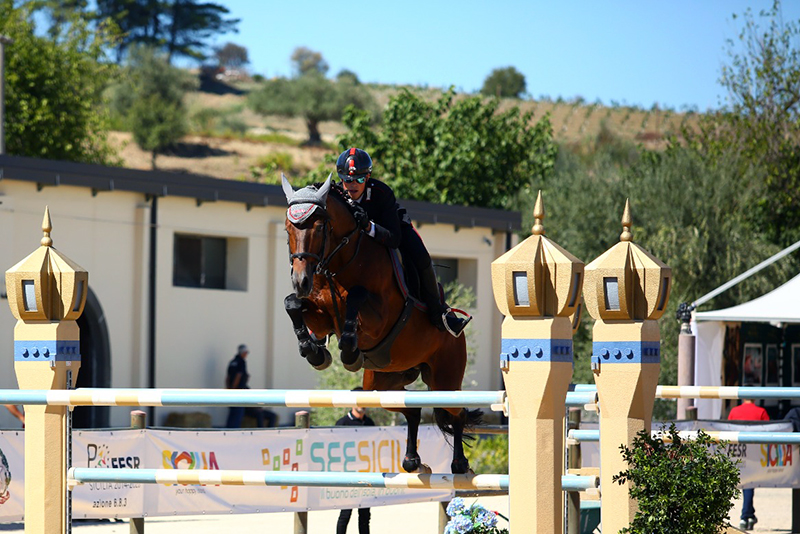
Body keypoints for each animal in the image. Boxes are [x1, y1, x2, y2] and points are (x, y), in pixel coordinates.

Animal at [282, 174, 482, 476]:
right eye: (287, 229)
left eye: (318, 227)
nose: (301, 280)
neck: (344, 260)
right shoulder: (322, 316)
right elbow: (292, 304)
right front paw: (314, 351)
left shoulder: (379, 317)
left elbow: (356, 297)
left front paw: (350, 352)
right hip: (381, 384)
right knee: (413, 410)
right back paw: (412, 460)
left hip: (445, 378)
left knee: (456, 413)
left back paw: (459, 463)